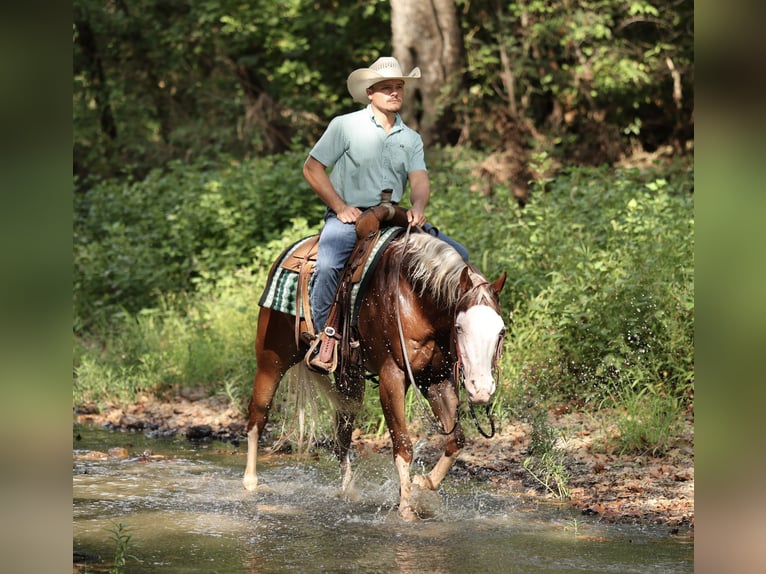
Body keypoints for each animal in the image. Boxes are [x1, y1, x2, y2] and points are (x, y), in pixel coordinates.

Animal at [242, 229, 506, 521]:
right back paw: (250, 483)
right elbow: (403, 446)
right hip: (273, 357)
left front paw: (422, 483)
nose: (481, 389)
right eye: (459, 327)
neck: (415, 300)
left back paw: (348, 492)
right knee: (258, 415)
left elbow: (456, 440)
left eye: (501, 331)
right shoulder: (392, 377)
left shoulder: (437, 381)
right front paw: (405, 510)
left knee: (342, 435)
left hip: (348, 379)